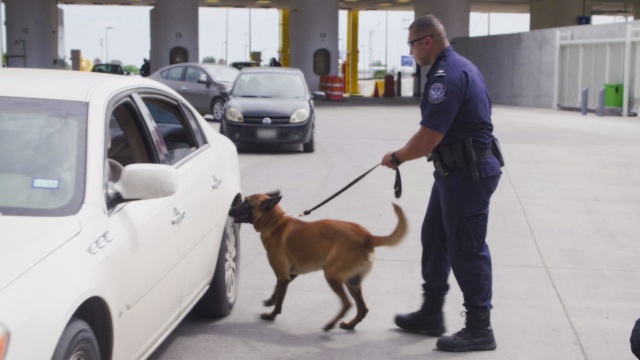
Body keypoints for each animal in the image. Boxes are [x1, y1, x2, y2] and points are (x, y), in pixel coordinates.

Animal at [229, 191, 404, 332]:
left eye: (246, 203)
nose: (230, 209)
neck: (276, 223)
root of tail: (367, 237)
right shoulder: (289, 274)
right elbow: (277, 290)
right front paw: (270, 301)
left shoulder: (283, 275)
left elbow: (280, 299)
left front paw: (272, 315)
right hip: (352, 282)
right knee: (363, 309)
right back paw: (349, 325)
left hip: (332, 275)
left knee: (347, 304)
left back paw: (330, 324)